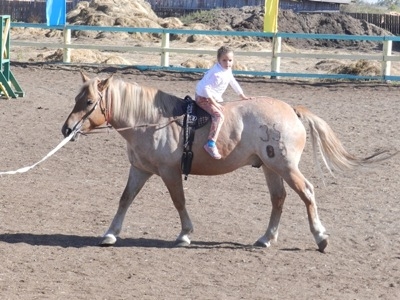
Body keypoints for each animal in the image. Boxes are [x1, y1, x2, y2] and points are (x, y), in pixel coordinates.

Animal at [61, 72, 392, 251]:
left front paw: (185, 235)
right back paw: (266, 238)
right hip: (271, 168)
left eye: (88, 102)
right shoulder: (140, 170)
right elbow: (125, 199)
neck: (151, 120)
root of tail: (292, 110)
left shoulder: (169, 172)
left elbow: (178, 201)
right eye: (75, 99)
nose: (66, 129)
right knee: (279, 199)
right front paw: (110, 234)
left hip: (286, 167)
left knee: (307, 192)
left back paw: (320, 237)